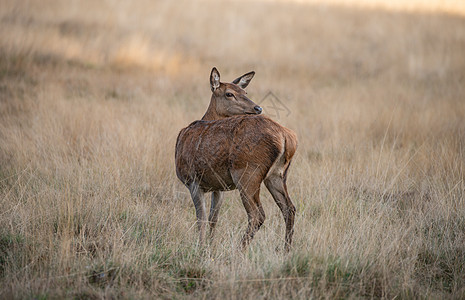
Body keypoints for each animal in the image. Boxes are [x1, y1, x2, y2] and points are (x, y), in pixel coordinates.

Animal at [174, 67, 298, 252]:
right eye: (229, 93)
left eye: (245, 91)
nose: (257, 107)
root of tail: (286, 137)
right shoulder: (219, 187)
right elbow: (213, 218)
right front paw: (210, 245)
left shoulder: (192, 180)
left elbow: (200, 219)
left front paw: (201, 248)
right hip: (277, 174)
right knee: (289, 208)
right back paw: (286, 250)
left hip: (248, 173)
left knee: (257, 214)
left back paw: (239, 250)